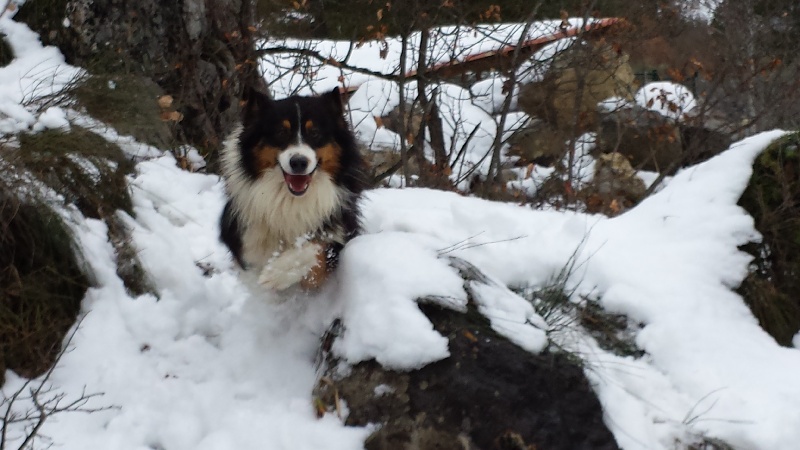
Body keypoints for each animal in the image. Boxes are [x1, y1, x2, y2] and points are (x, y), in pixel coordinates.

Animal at [219, 88, 368, 292]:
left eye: (315, 133)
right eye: (281, 132)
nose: (298, 162)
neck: (290, 199)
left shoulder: (343, 230)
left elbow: (318, 246)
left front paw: (278, 273)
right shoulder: (240, 240)